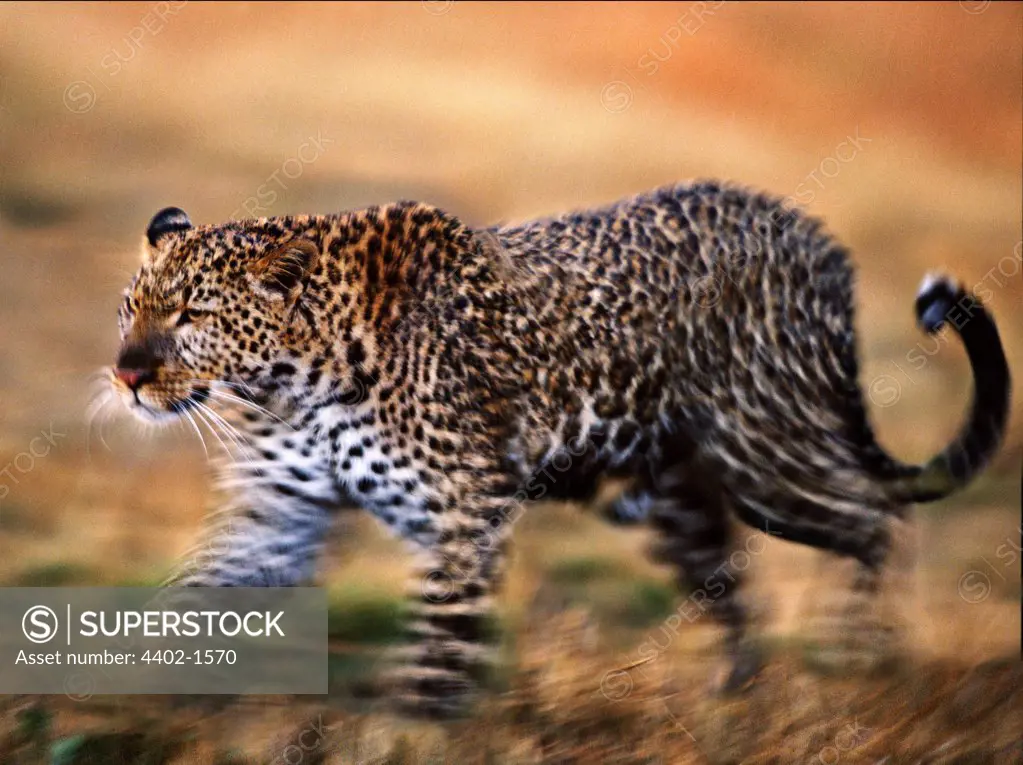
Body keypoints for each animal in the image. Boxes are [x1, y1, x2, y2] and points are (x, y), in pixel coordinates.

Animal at [107, 182, 1010, 720]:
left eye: (191, 315)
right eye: (130, 306)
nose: (126, 374)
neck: (293, 382)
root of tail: (819, 242)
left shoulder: (464, 511)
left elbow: (438, 652)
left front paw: (410, 729)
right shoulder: (277, 512)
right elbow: (196, 597)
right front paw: (128, 692)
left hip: (766, 454)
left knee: (875, 514)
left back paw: (854, 656)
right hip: (672, 501)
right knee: (734, 591)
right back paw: (736, 703)